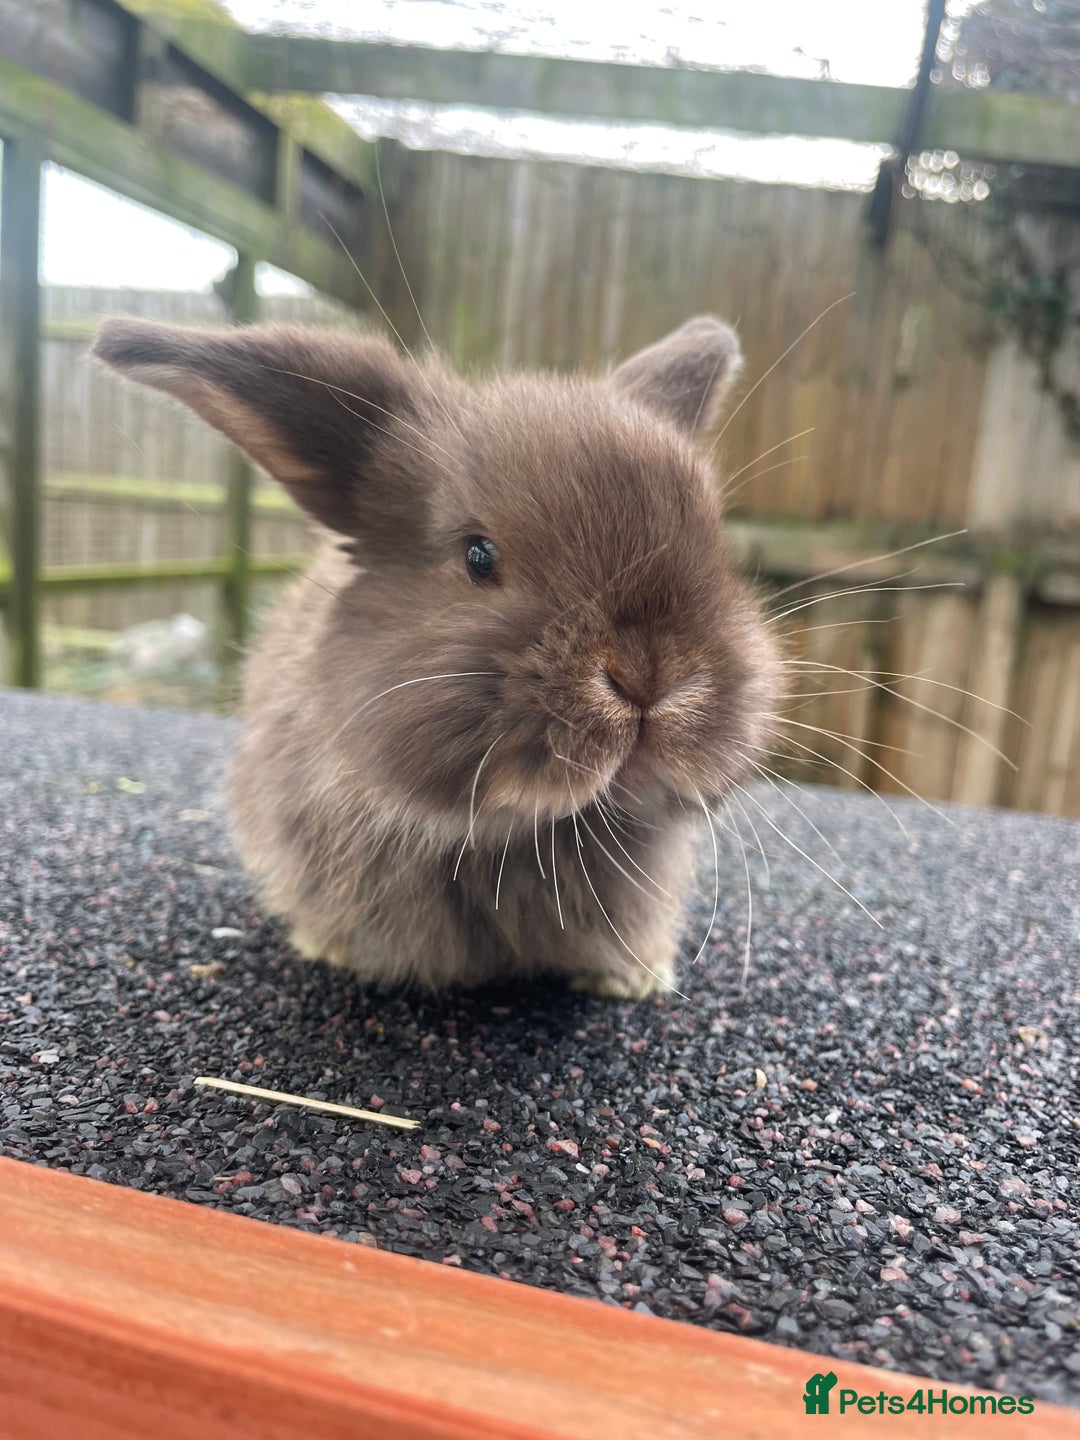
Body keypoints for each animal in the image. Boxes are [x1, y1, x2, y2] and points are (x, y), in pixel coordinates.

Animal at [92, 313, 781, 998]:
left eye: (714, 548)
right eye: (478, 555)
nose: (647, 675)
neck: (539, 833)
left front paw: (633, 979)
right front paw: (333, 949)